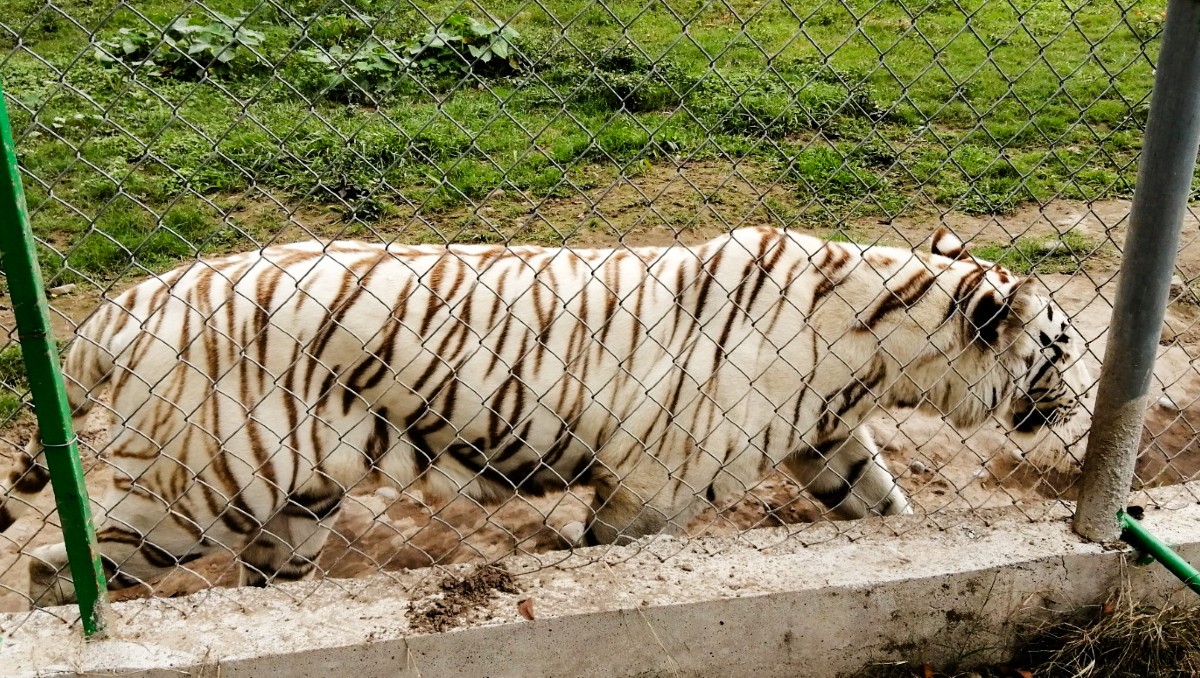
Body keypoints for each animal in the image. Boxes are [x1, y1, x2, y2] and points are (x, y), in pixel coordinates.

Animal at [0, 226, 1091, 606]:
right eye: (1064, 346)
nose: (1081, 401)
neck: (877, 348)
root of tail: (125, 305)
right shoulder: (651, 491)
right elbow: (607, 553)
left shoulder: (829, 438)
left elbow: (885, 506)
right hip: (200, 488)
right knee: (62, 568)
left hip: (294, 504)